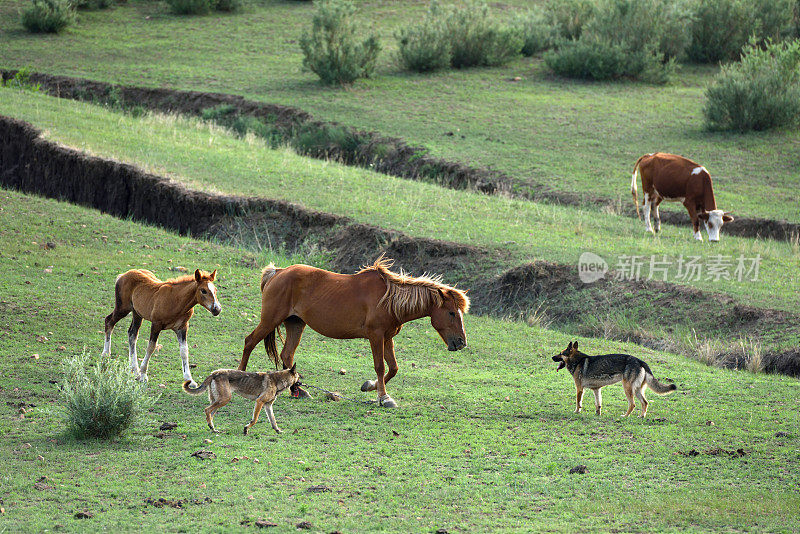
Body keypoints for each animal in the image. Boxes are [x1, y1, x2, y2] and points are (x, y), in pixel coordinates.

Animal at [241, 258, 472, 408]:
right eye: (451, 313)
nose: (461, 342)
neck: (389, 300)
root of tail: (278, 272)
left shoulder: (387, 337)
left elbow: (393, 368)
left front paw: (370, 387)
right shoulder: (376, 336)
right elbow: (380, 366)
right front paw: (383, 397)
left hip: (296, 323)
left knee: (287, 354)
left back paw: (299, 390)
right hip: (270, 320)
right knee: (249, 342)